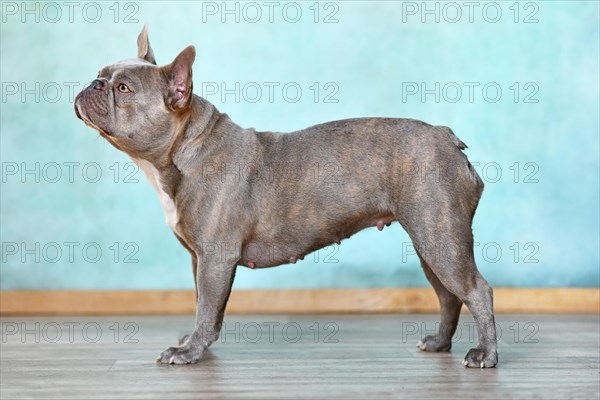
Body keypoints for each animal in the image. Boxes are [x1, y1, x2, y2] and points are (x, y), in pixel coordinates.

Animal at [75, 26, 496, 368]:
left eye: (124, 88)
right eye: (101, 75)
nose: (93, 84)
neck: (185, 149)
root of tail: (446, 137)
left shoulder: (215, 257)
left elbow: (207, 307)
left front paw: (190, 351)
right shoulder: (200, 259)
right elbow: (202, 304)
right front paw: (194, 342)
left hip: (439, 239)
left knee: (476, 291)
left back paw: (485, 355)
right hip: (431, 244)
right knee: (449, 295)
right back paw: (440, 343)